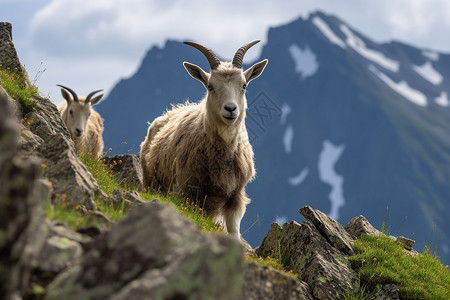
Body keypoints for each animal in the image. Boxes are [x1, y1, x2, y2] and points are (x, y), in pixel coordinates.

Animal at [141, 40, 268, 241]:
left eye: (244, 85)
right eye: (210, 86)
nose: (230, 109)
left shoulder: (236, 196)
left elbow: (234, 234)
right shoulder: (187, 191)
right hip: (151, 182)